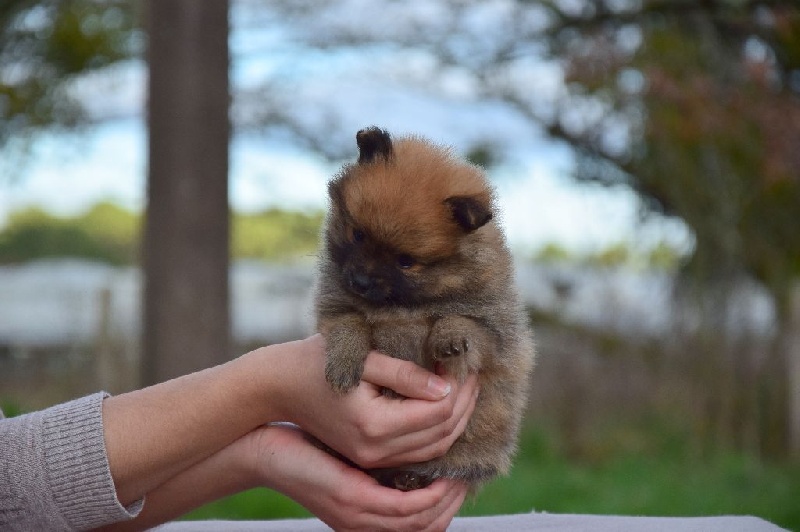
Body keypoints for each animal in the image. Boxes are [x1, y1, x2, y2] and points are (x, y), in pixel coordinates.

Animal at [316, 125, 536, 490]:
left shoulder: (497, 331)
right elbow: (350, 324)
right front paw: (345, 362)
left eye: (406, 262)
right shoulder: (334, 307)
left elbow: (464, 322)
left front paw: (449, 337)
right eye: (358, 235)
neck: (404, 304)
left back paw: (411, 478)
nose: (359, 281)